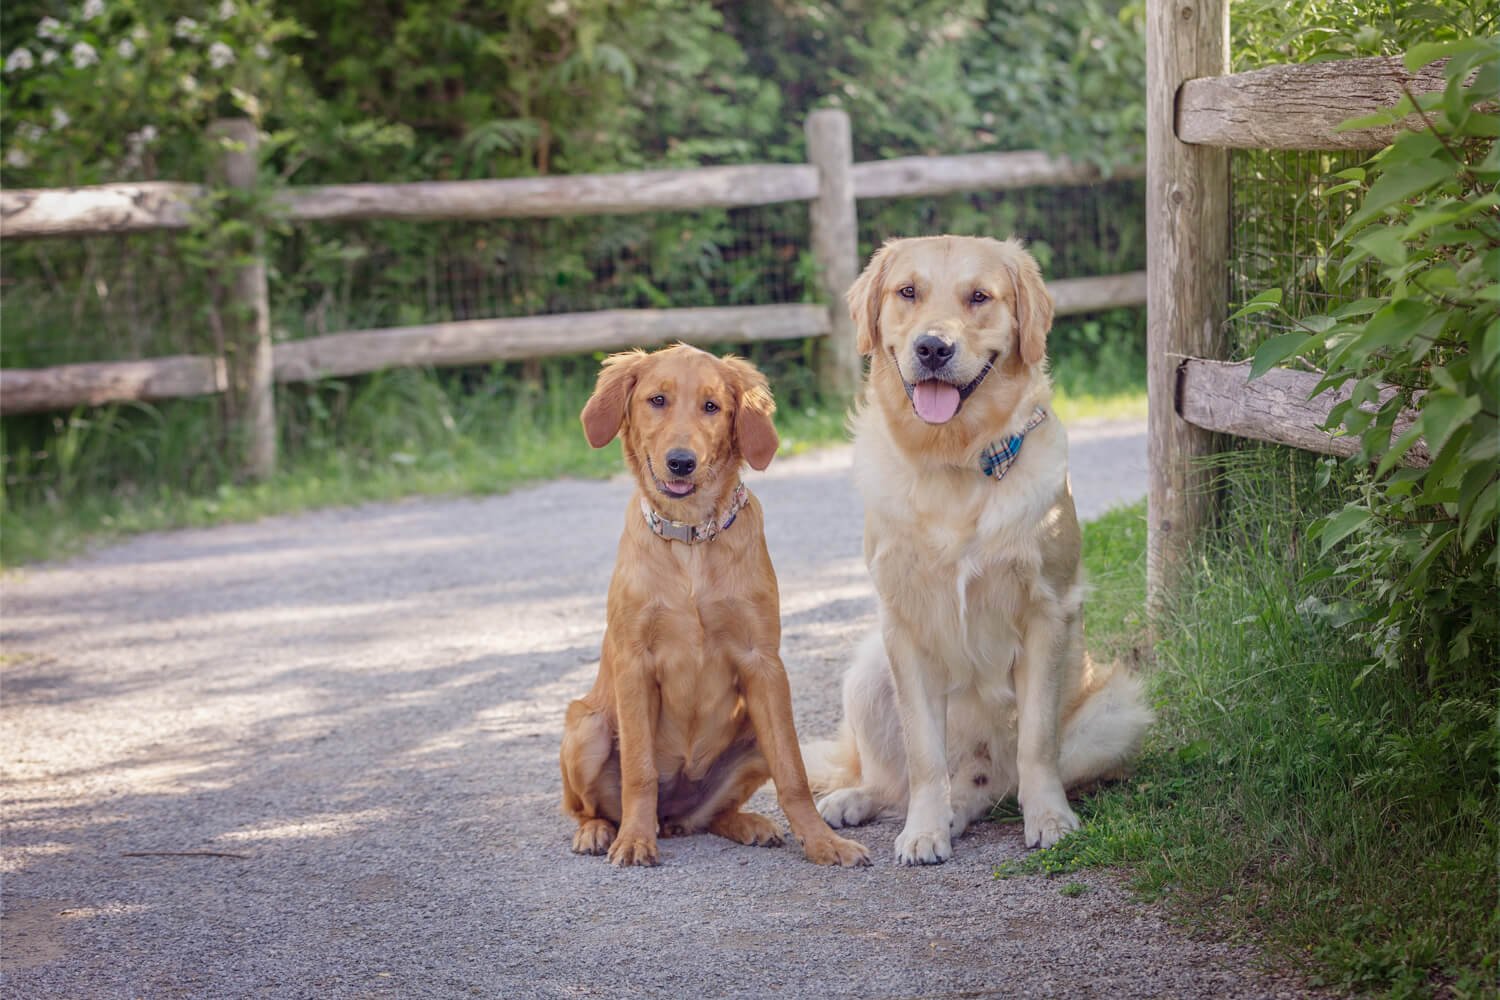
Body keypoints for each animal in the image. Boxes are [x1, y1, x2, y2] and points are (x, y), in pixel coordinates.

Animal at [561, 344, 870, 869]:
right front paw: (634, 839)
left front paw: (823, 841)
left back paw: (749, 824)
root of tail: (673, 814)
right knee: (587, 807)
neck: (691, 542)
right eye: (657, 399)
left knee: (711, 816)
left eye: (711, 407)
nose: (681, 462)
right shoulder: (634, 665)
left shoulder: (764, 665)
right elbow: (639, 770)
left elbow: (793, 774)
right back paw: (601, 831)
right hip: (586, 725)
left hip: (751, 735)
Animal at [810, 238, 1146, 863]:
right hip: (867, 674)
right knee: (906, 780)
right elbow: (923, 755)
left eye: (979, 297)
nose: (932, 348)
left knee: (997, 783)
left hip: (1117, 712)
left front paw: (1050, 820)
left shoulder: (1048, 612)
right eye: (908, 291)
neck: (956, 461)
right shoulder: (903, 627)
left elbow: (1036, 742)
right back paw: (862, 801)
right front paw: (923, 830)